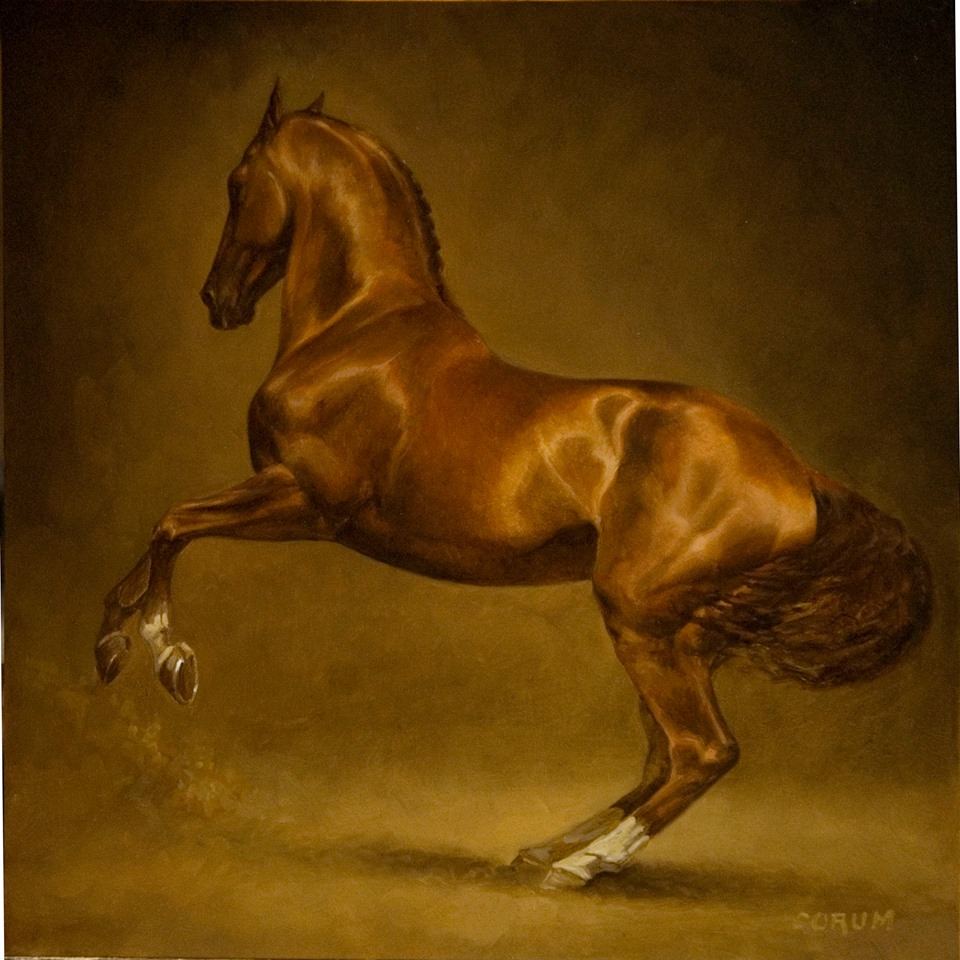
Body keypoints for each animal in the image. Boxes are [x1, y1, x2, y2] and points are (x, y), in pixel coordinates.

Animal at [96, 84, 932, 890]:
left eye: (237, 183)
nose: (217, 301)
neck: (357, 330)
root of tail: (797, 474)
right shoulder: (289, 498)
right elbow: (156, 544)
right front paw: (119, 649)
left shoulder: (305, 500)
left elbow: (172, 524)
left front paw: (163, 659)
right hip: (682, 633)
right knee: (664, 754)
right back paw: (552, 847)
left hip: (639, 619)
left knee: (701, 751)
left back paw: (578, 865)